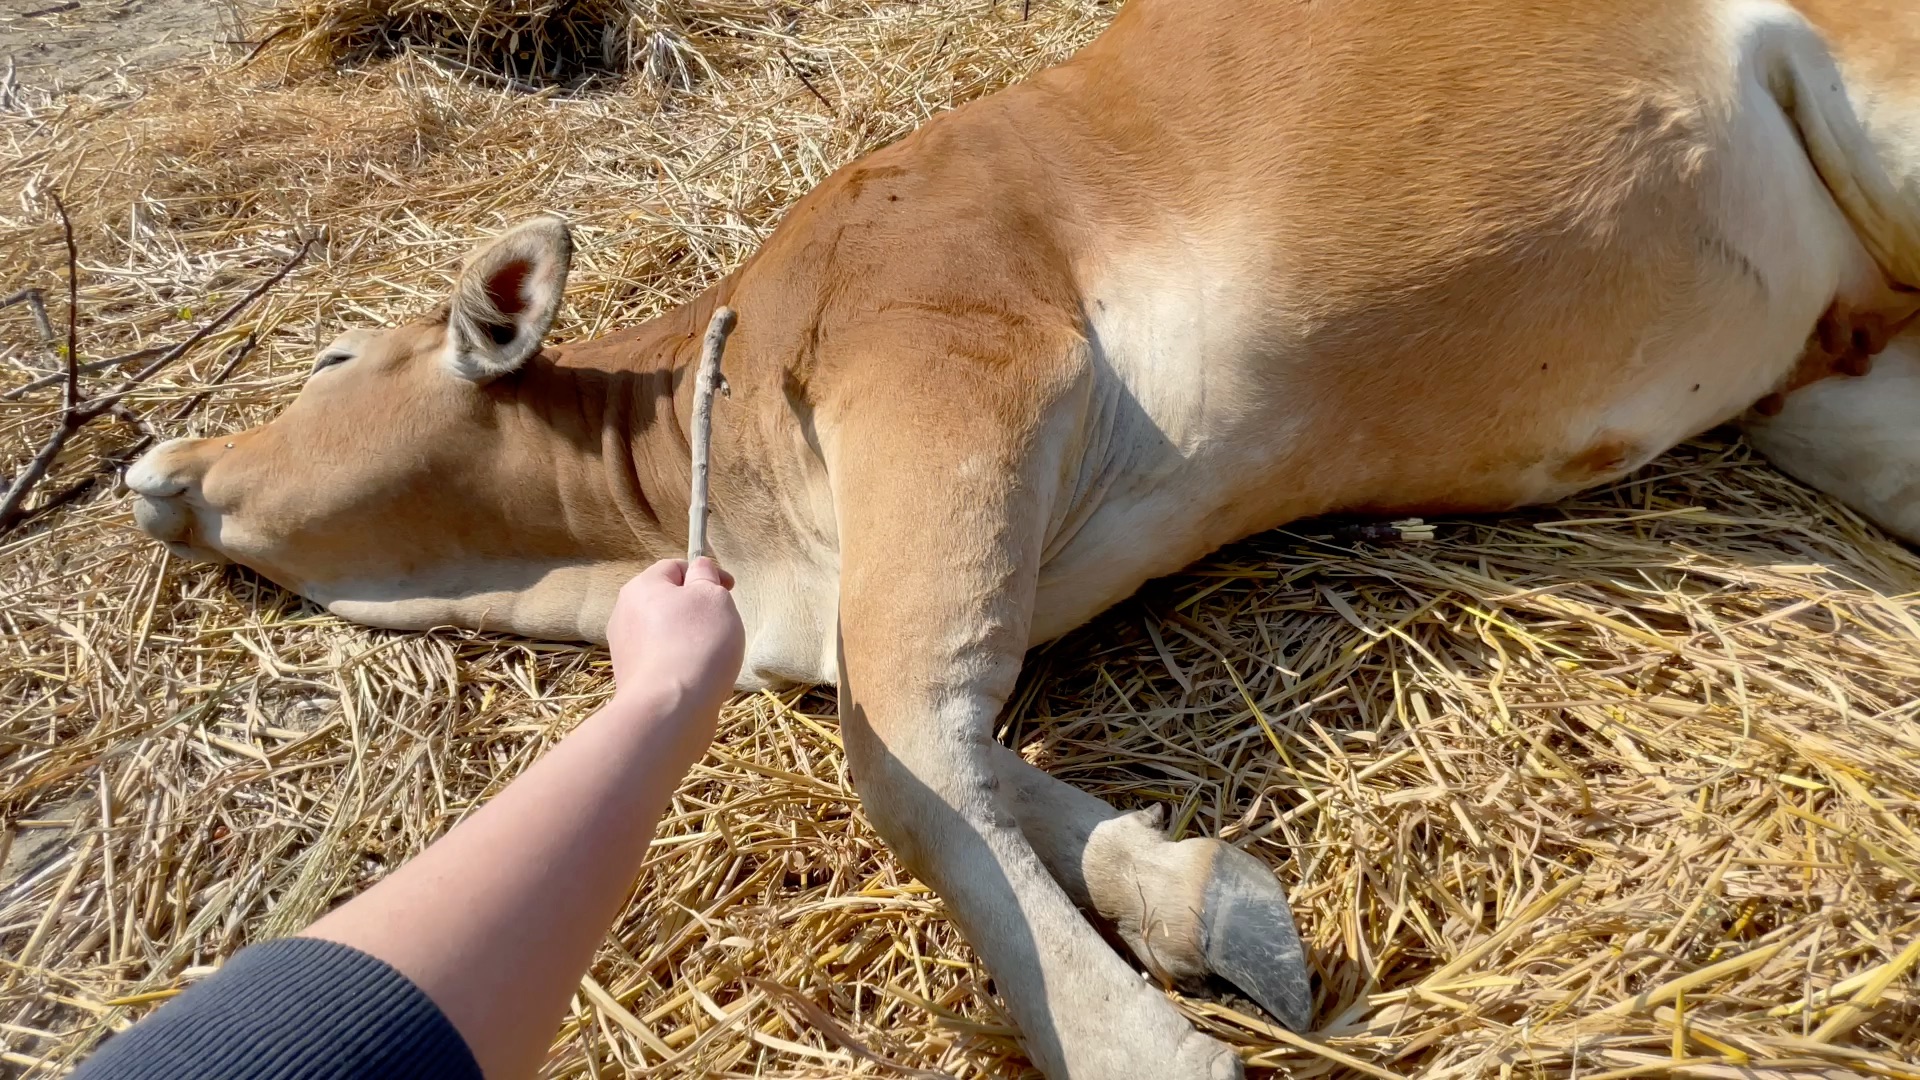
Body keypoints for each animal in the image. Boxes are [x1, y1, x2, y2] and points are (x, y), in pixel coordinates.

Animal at [123, 0, 1920, 1068]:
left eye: (330, 363)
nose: (154, 463)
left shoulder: (953, 364)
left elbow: (906, 759)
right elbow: (965, 762)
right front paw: (1207, 901)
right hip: (1817, 383)